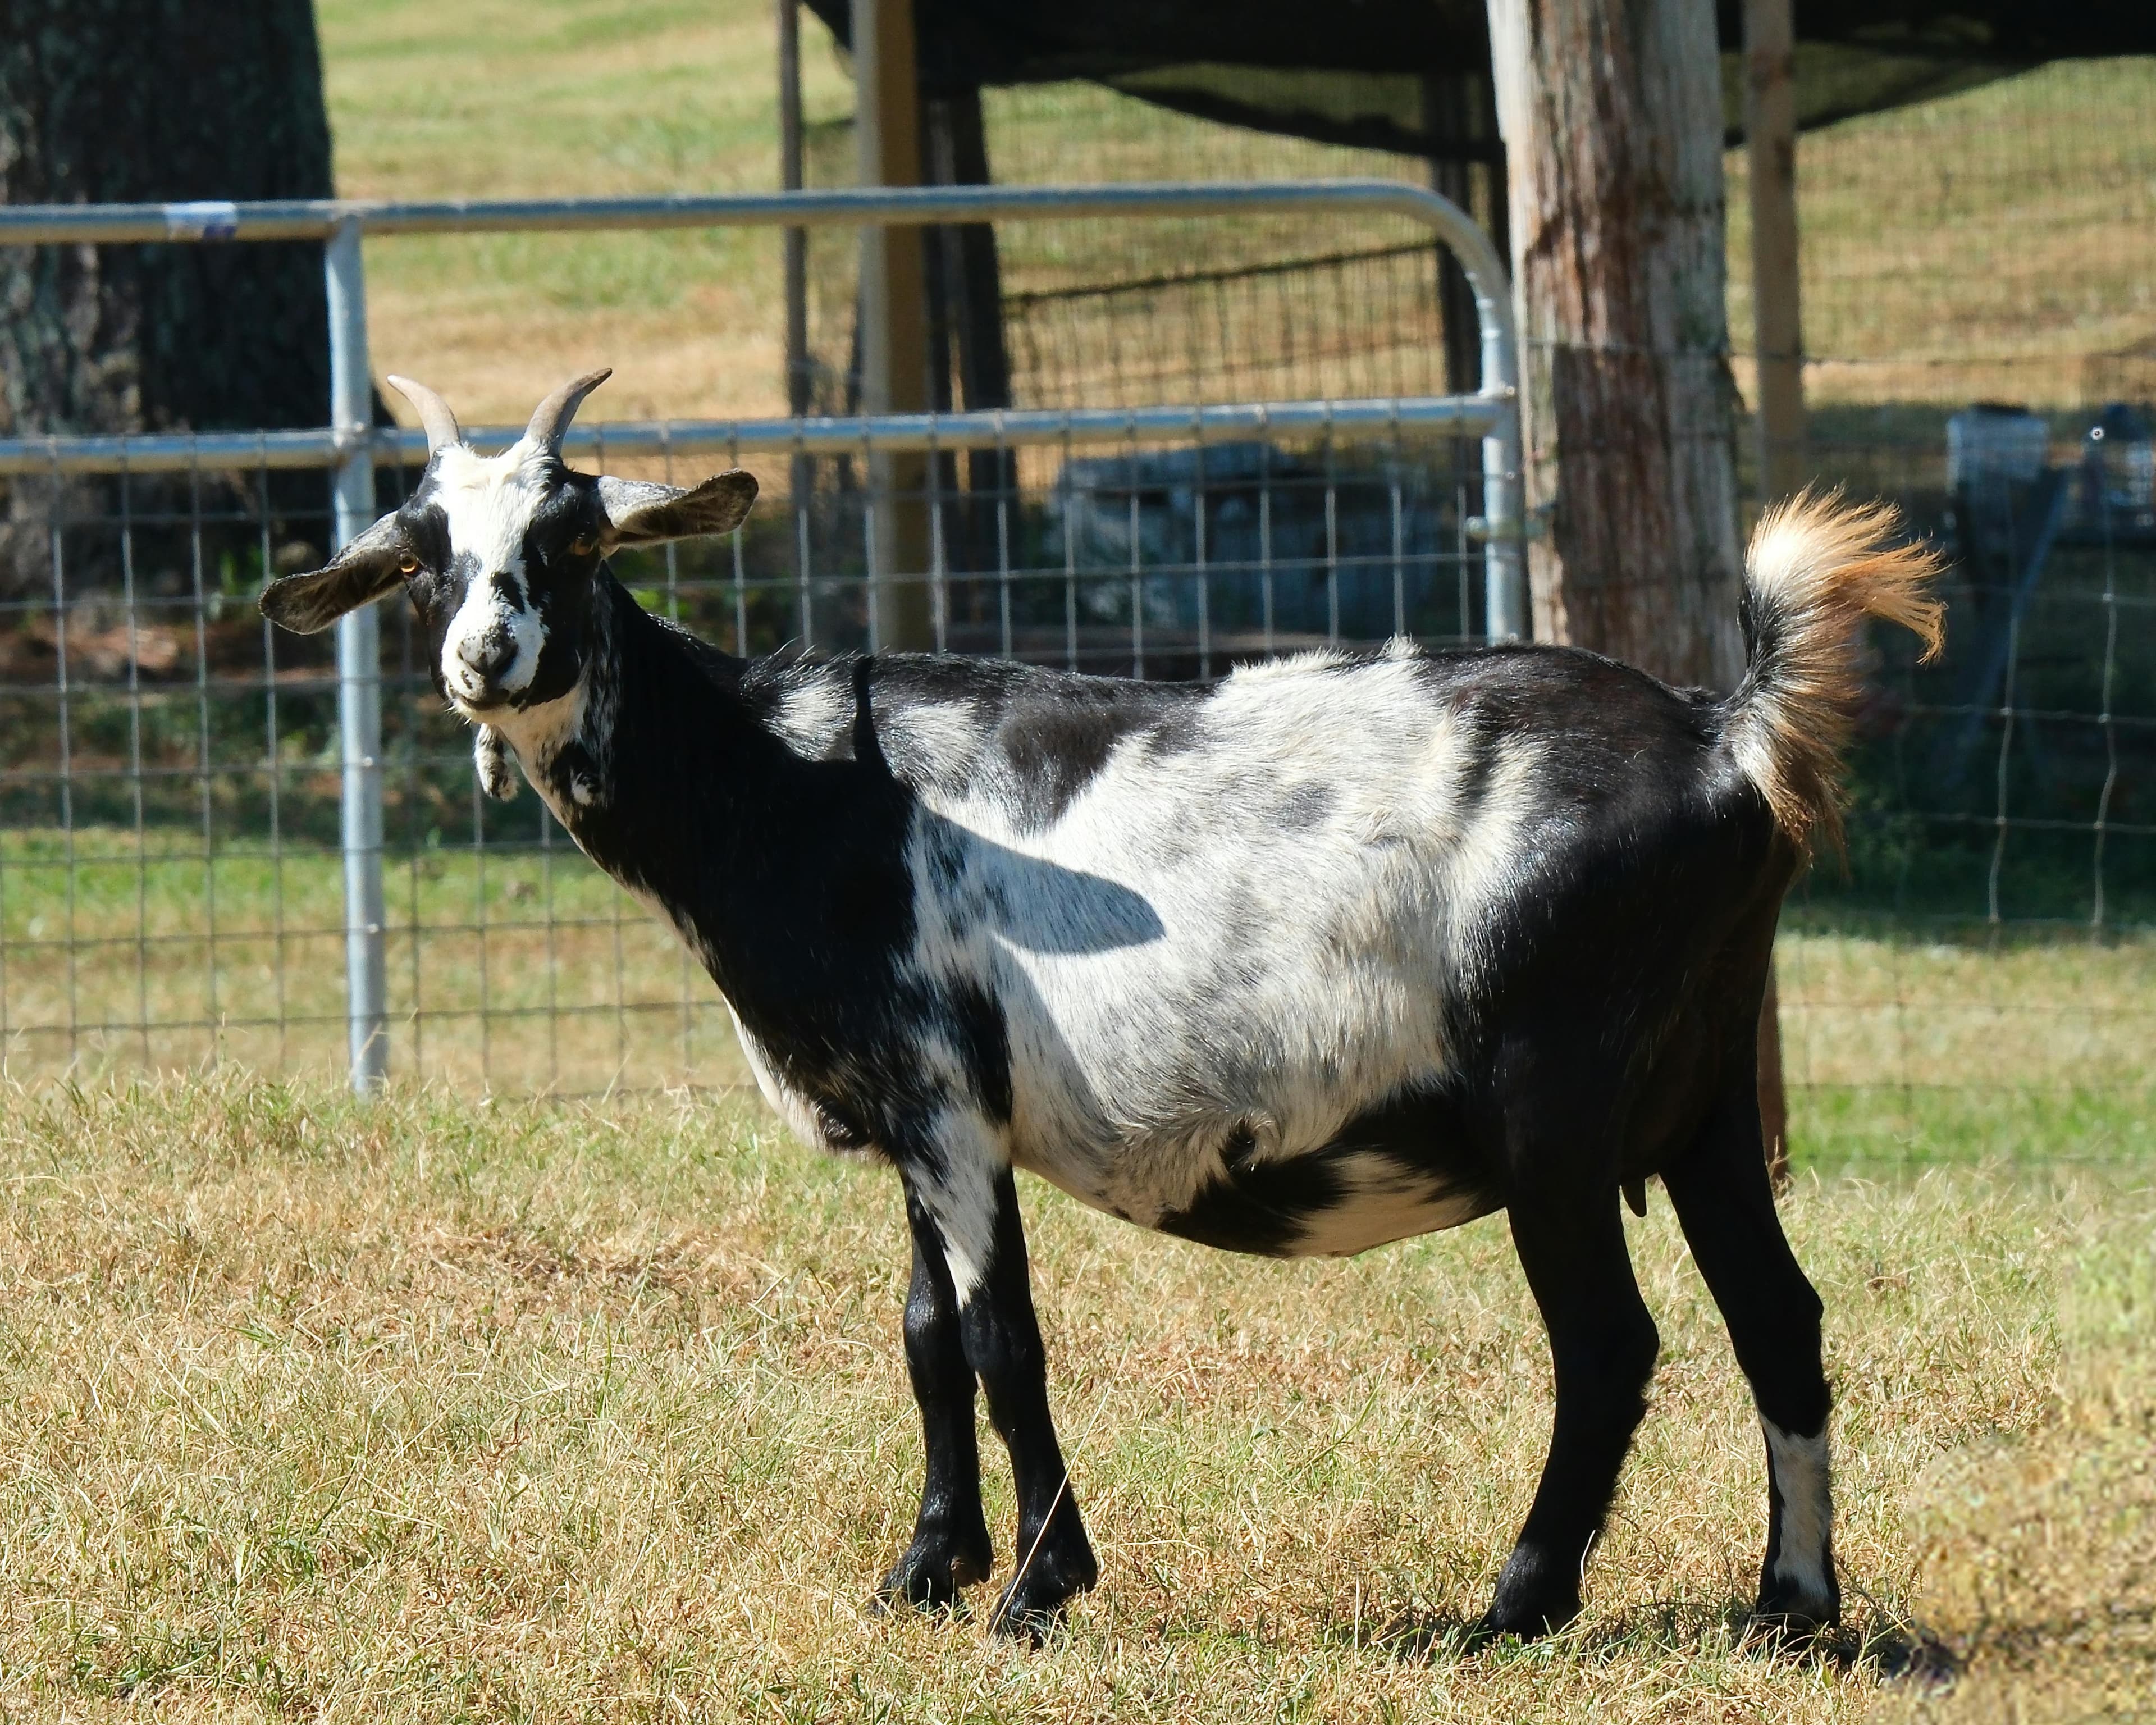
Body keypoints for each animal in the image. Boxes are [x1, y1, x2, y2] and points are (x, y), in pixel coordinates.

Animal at [263, 371, 1942, 1642]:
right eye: (423, 556)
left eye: (575, 541)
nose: (489, 657)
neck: (782, 780)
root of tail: (1728, 739)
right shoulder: (918, 1106)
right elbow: (923, 1333)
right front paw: (924, 1572)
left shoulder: (946, 1100)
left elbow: (1001, 1336)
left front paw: (1036, 1592)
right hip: (1706, 1089)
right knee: (1779, 1319)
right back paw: (1791, 1606)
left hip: (1558, 1106)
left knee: (1606, 1344)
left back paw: (1510, 1606)